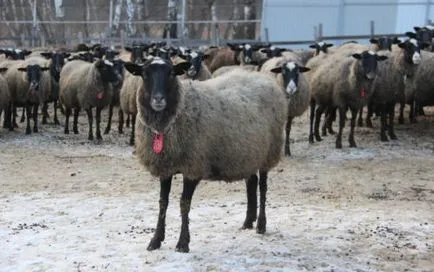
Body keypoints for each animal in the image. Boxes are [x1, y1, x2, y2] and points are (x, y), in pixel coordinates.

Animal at [124, 56, 288, 253]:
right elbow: (163, 202)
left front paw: (183, 243)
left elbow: (184, 204)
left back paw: (261, 225)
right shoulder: (166, 166)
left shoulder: (193, 166)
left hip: (268, 152)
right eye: (144, 74)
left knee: (262, 187)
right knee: (252, 182)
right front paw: (156, 240)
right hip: (247, 152)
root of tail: (263, 78)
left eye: (171, 73)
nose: (158, 100)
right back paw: (248, 221)